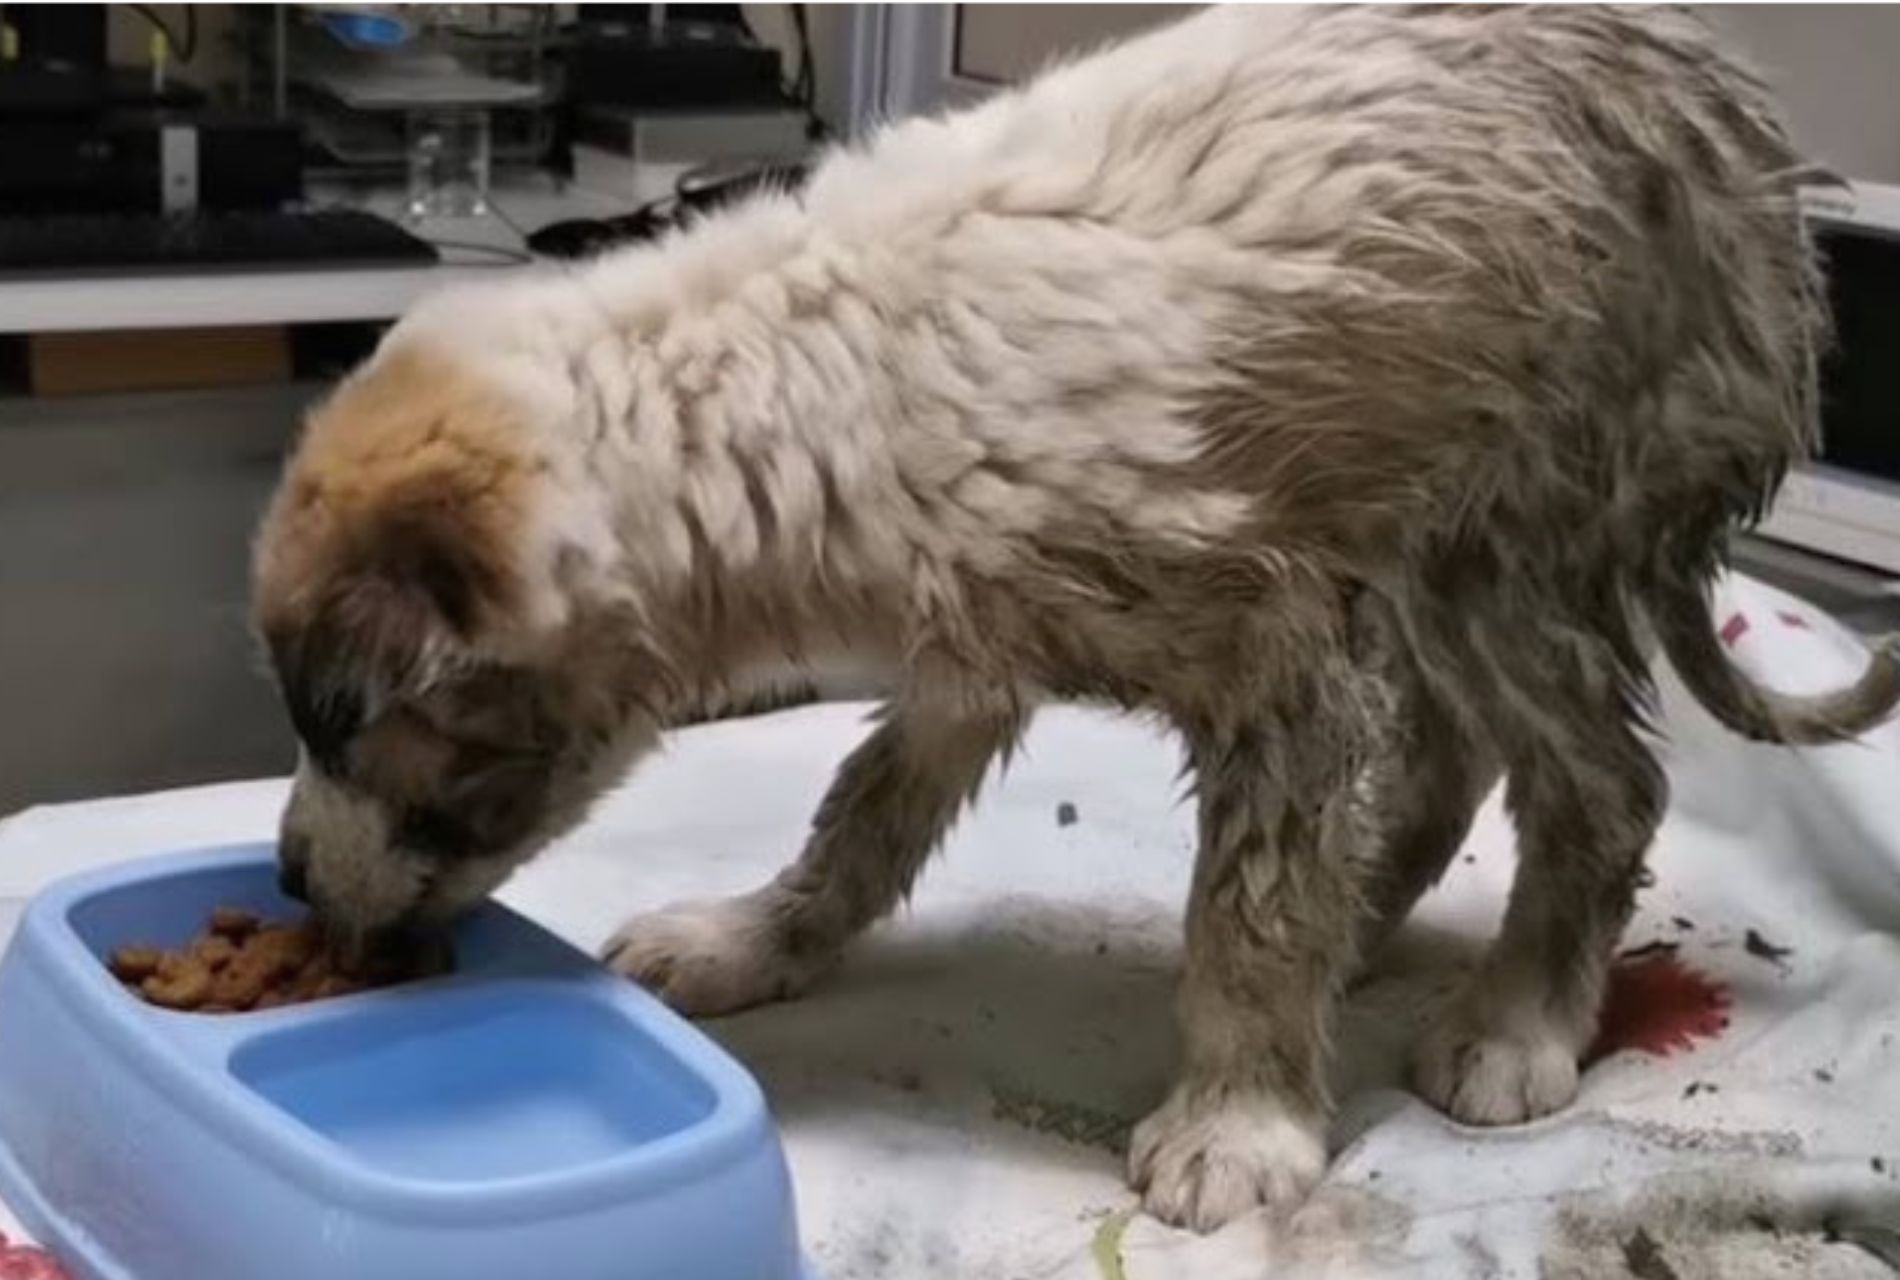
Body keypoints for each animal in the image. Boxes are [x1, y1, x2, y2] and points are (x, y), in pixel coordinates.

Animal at [252, 4, 1900, 1230]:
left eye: (338, 720)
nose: (283, 877)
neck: (776, 393)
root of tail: (1759, 149)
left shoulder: (1275, 648)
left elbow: (1249, 914)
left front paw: (1241, 1120)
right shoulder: (968, 652)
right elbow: (862, 814)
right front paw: (754, 940)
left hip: (1516, 524)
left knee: (1596, 783)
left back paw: (1517, 1022)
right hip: (1418, 536)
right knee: (1448, 759)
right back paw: (1373, 914)